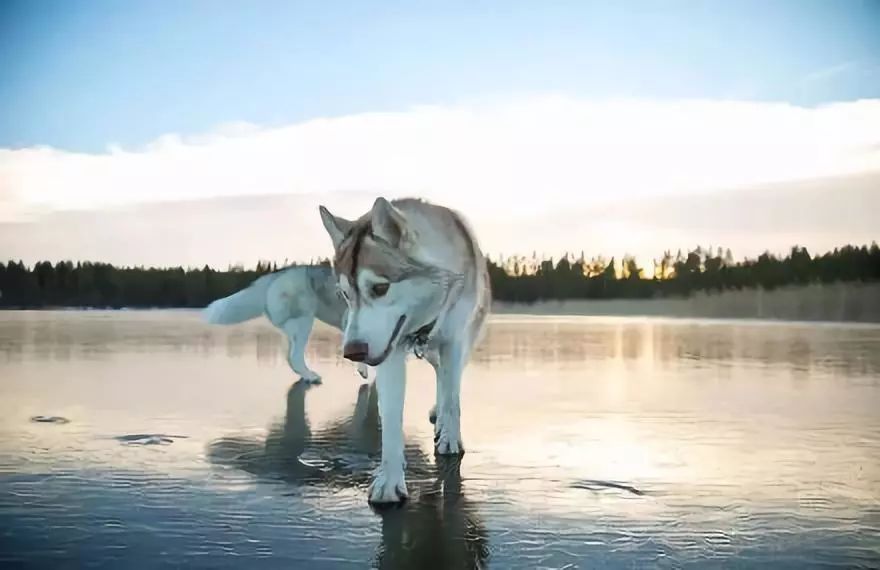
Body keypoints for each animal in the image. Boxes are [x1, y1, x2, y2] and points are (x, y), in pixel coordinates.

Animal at [320, 195, 492, 502]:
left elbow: (452, 398)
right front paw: (389, 480)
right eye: (345, 294)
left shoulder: (454, 343)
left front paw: (450, 437)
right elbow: (390, 419)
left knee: (450, 383)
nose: (353, 352)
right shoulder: (391, 350)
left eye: (380, 288)